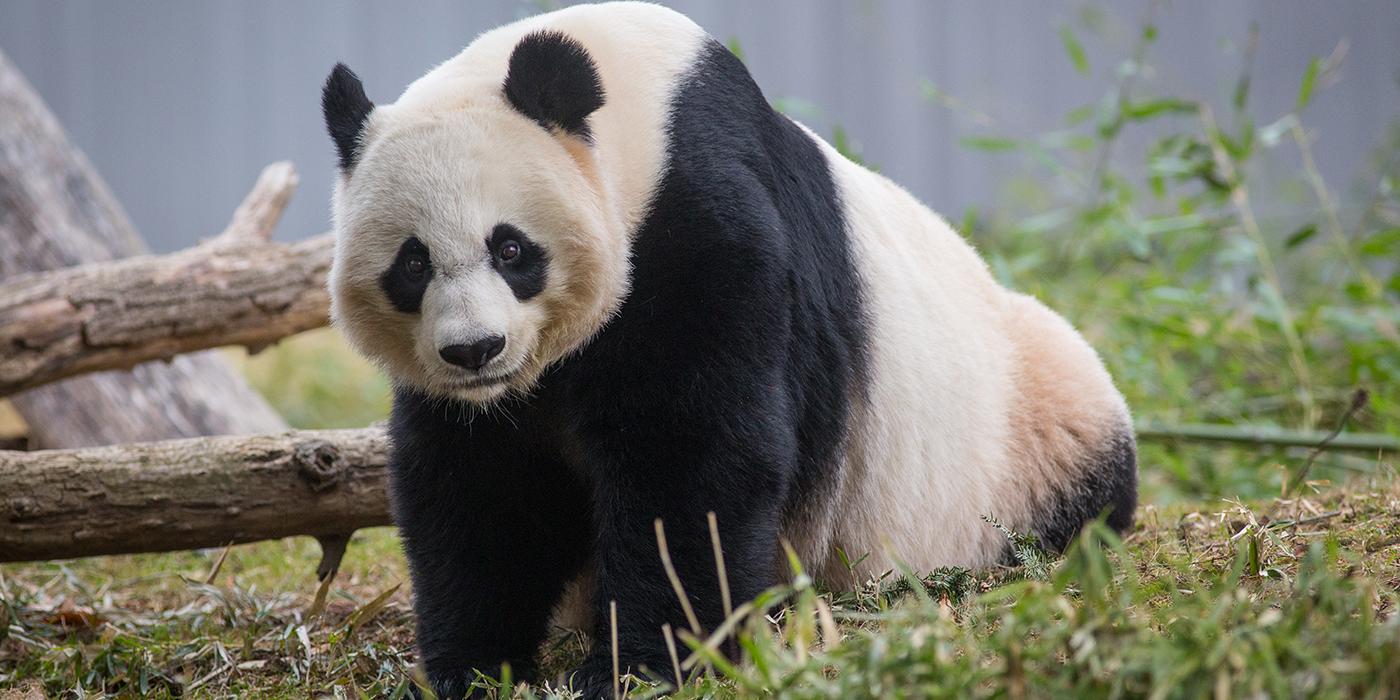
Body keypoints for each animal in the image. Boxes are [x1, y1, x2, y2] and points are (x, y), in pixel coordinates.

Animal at [320, 2, 1136, 697]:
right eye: (412, 264)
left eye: (512, 248)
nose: (475, 351)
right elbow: (482, 486)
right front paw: (472, 669)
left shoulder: (700, 219)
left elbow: (692, 456)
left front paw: (640, 665)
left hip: (1022, 422)